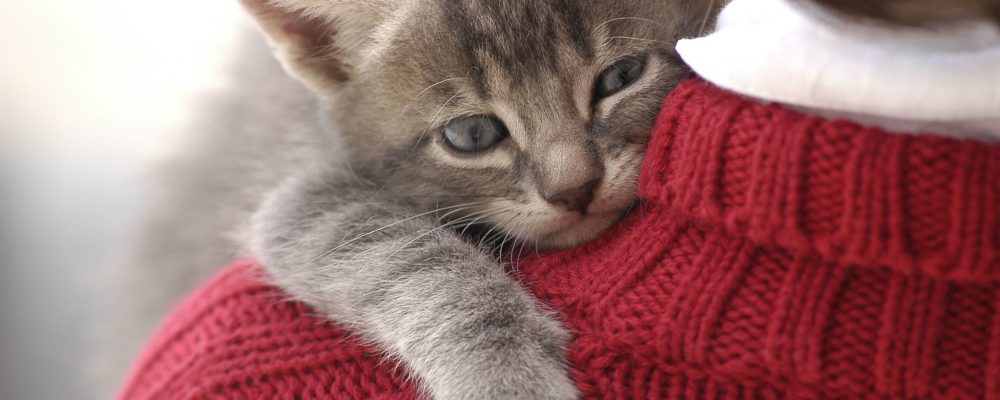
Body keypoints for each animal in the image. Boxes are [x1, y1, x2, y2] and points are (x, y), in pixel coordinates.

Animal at [103, 0, 718, 398]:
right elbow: (412, 259)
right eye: (472, 134)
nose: (575, 188)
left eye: (622, 75)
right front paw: (503, 374)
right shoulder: (303, 189)